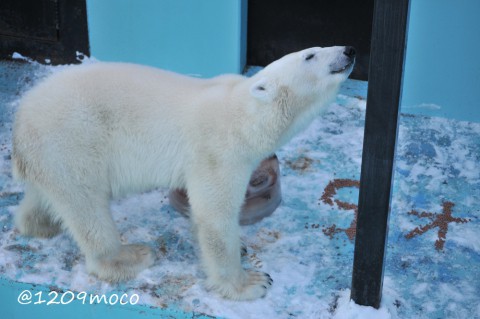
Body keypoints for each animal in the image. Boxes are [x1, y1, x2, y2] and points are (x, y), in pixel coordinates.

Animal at [13, 46, 354, 302]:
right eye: (310, 55)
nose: (348, 50)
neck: (246, 115)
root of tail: (21, 122)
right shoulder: (218, 151)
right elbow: (214, 215)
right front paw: (251, 282)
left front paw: (241, 245)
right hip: (73, 140)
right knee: (87, 205)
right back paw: (131, 255)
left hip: (52, 154)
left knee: (51, 196)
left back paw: (42, 223)